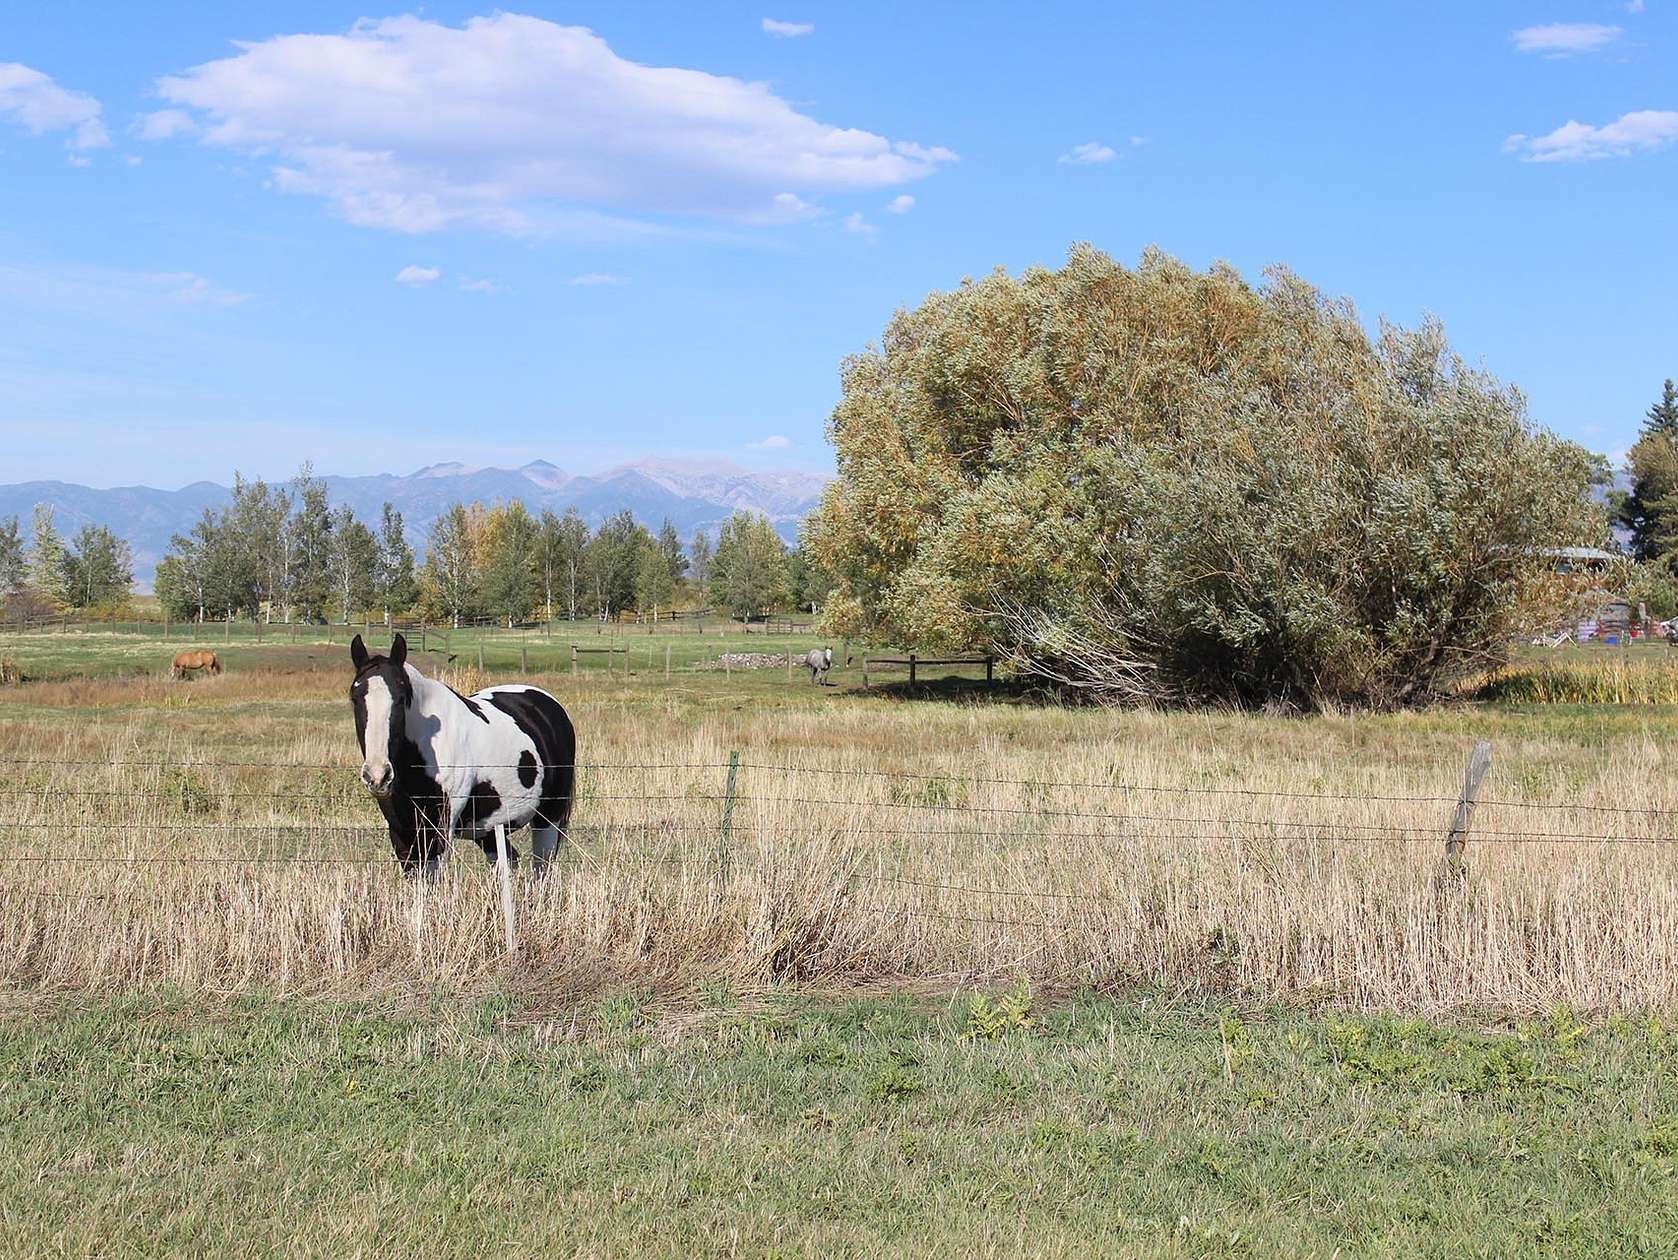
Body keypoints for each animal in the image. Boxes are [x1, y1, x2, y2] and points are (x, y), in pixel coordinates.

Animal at [349, 630, 577, 879]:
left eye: (401, 698)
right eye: (354, 697)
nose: (378, 775)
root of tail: (548, 704)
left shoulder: (439, 830)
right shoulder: (402, 833)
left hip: (549, 818)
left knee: (542, 870)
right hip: (489, 828)